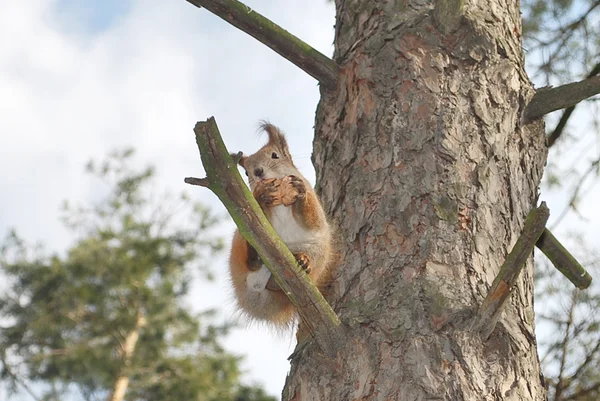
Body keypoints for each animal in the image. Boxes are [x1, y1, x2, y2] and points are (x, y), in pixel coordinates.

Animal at [230, 123, 332, 326]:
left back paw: (303, 261)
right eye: (246, 172)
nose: (258, 172)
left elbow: (313, 220)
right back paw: (254, 257)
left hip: (317, 251)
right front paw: (262, 195)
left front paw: (299, 192)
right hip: (242, 237)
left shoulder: (316, 210)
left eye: (275, 155)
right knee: (250, 259)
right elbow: (259, 215)